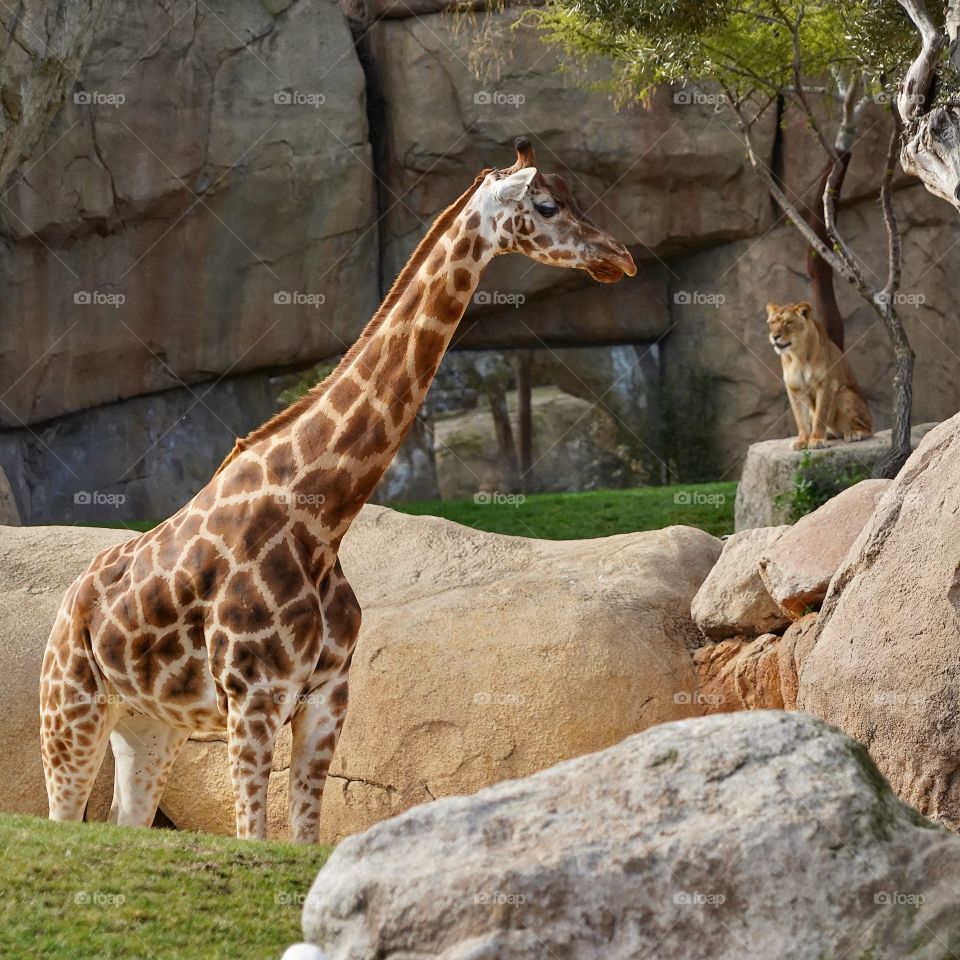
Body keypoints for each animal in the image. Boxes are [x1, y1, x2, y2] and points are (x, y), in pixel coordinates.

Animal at [39, 138, 637, 843]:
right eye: (546, 205)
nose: (620, 256)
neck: (321, 521)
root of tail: (66, 605)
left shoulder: (326, 696)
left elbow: (306, 836)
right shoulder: (254, 698)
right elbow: (254, 837)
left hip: (149, 723)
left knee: (124, 819)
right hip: (70, 708)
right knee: (62, 813)